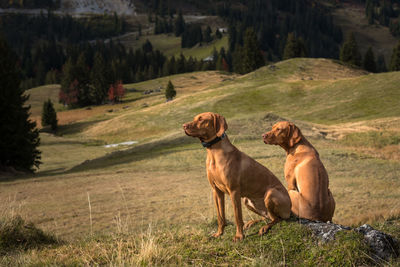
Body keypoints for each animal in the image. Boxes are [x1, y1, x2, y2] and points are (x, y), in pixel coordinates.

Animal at [184, 112, 290, 242]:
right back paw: (252, 223)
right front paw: (219, 233)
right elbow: (220, 216)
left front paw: (239, 236)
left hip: (271, 193)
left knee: (277, 219)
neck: (213, 152)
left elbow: (237, 217)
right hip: (247, 200)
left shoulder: (234, 191)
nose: (184, 126)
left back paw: (264, 228)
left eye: (201, 119)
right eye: (195, 118)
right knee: (269, 217)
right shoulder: (216, 191)